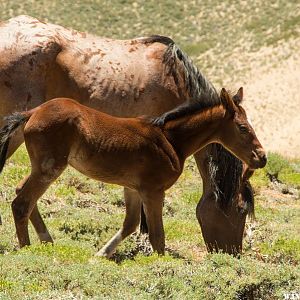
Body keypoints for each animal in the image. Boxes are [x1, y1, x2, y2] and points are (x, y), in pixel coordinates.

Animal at [0, 88, 266, 256]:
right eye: (243, 128)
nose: (261, 157)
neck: (170, 140)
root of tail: (32, 112)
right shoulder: (153, 191)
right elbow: (158, 237)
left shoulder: (133, 189)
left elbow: (130, 224)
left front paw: (101, 255)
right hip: (50, 167)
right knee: (22, 203)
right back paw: (27, 250)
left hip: (41, 167)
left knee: (23, 193)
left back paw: (47, 240)